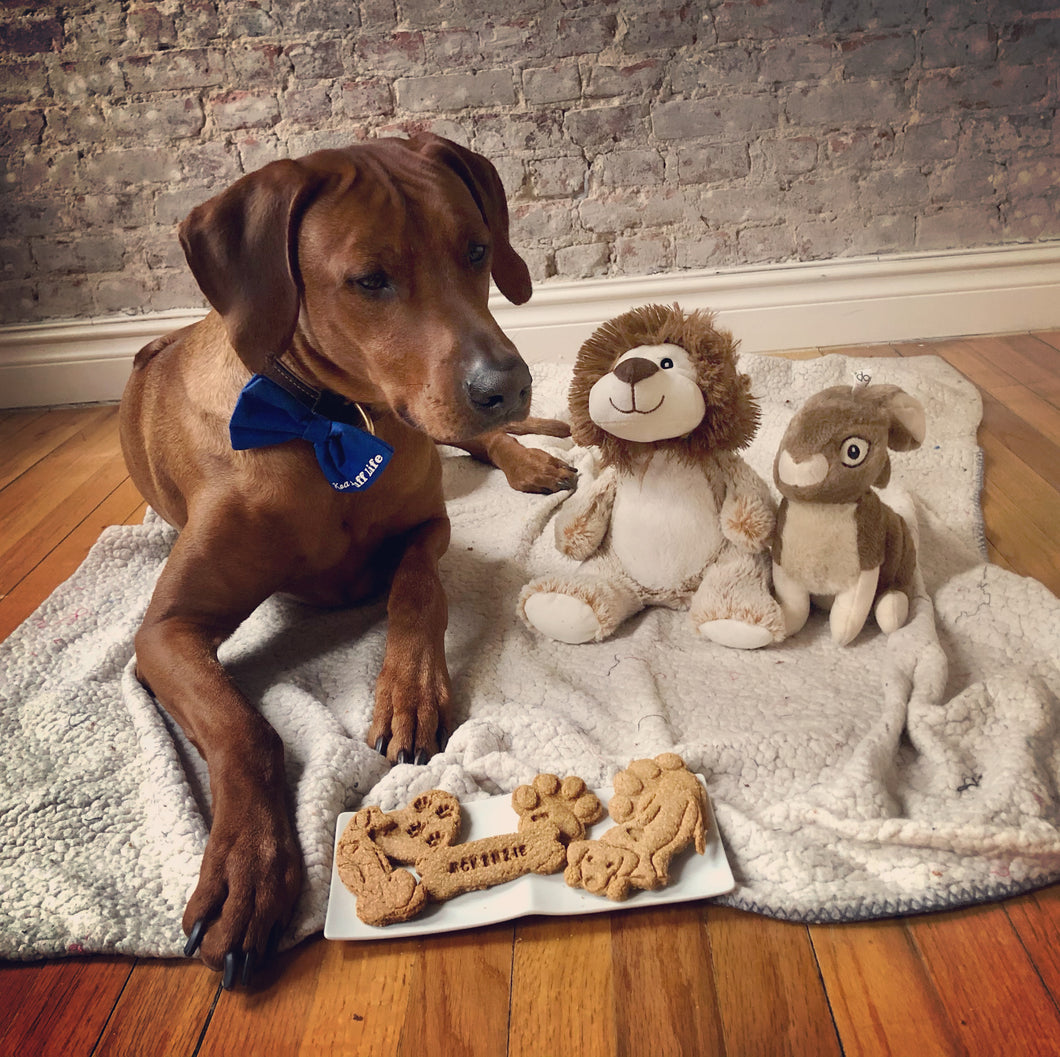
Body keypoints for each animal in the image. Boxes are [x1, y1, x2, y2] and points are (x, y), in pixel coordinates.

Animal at [120, 134, 576, 988]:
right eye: (370, 279)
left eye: (476, 249)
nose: (509, 385)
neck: (333, 424)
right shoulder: (164, 629)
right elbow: (245, 729)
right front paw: (248, 868)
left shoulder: (428, 523)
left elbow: (417, 589)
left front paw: (408, 691)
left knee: (482, 447)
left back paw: (529, 458)